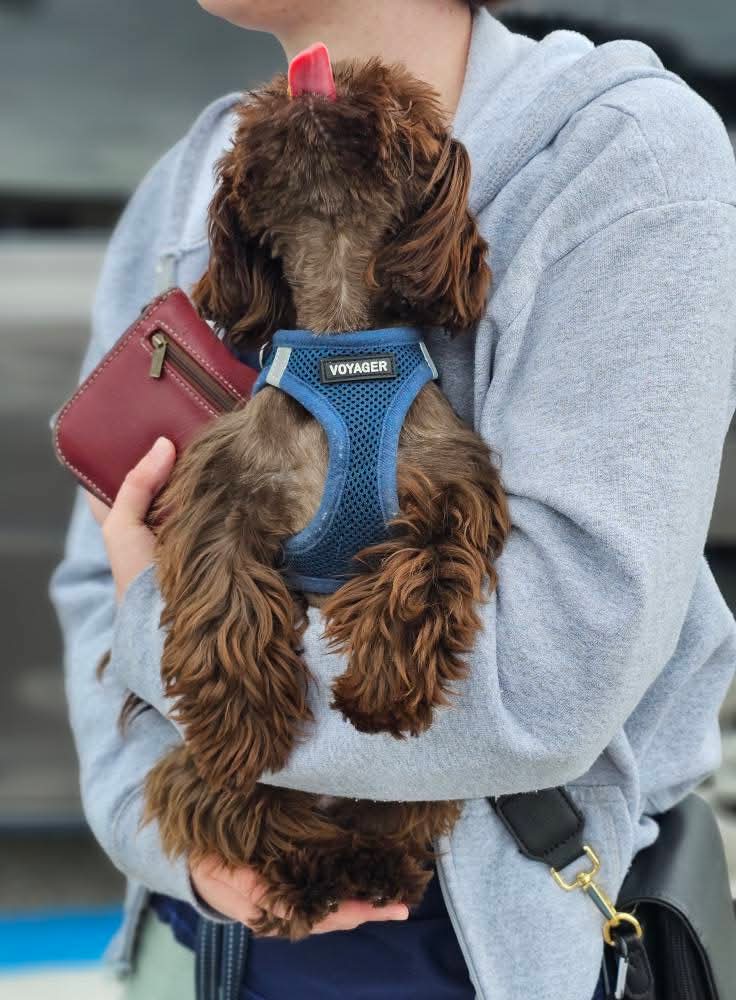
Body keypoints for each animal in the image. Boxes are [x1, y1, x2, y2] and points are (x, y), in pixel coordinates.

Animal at [141, 43, 510, 939]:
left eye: (393, 89)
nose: (317, 65)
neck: (346, 352)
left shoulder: (454, 484)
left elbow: (427, 564)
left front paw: (383, 687)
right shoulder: (221, 488)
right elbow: (226, 593)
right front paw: (243, 724)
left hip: (418, 797)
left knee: (388, 821)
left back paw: (373, 865)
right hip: (190, 773)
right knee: (255, 817)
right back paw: (309, 871)